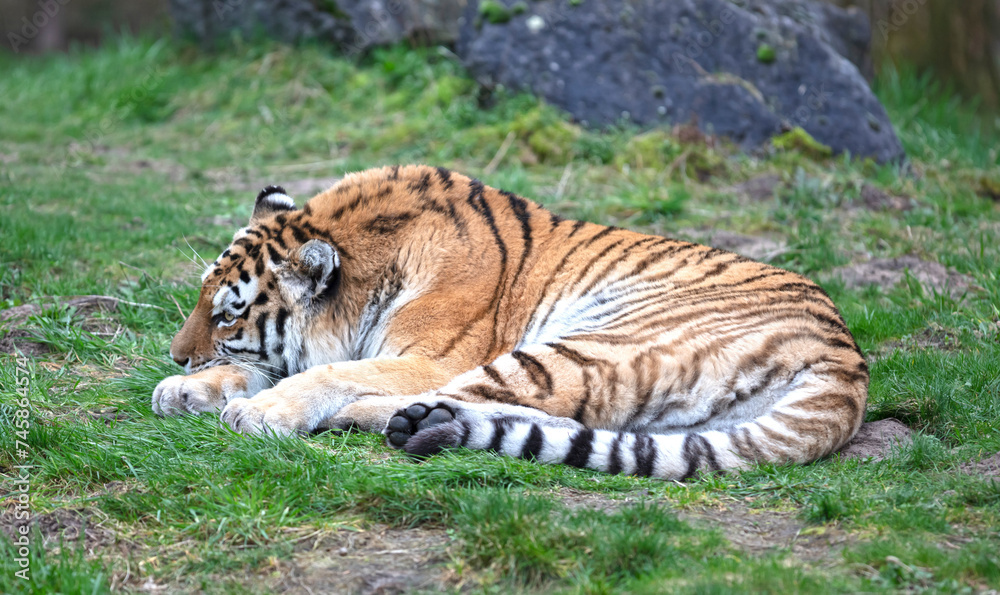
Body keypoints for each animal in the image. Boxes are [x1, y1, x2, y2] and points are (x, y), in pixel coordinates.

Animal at [153, 164, 868, 480]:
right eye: (201, 300)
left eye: (229, 315)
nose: (177, 356)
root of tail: (847, 358)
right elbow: (271, 368)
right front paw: (186, 391)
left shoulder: (430, 356)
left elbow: (326, 372)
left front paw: (259, 410)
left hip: (591, 342)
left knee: (470, 397)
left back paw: (382, 419)